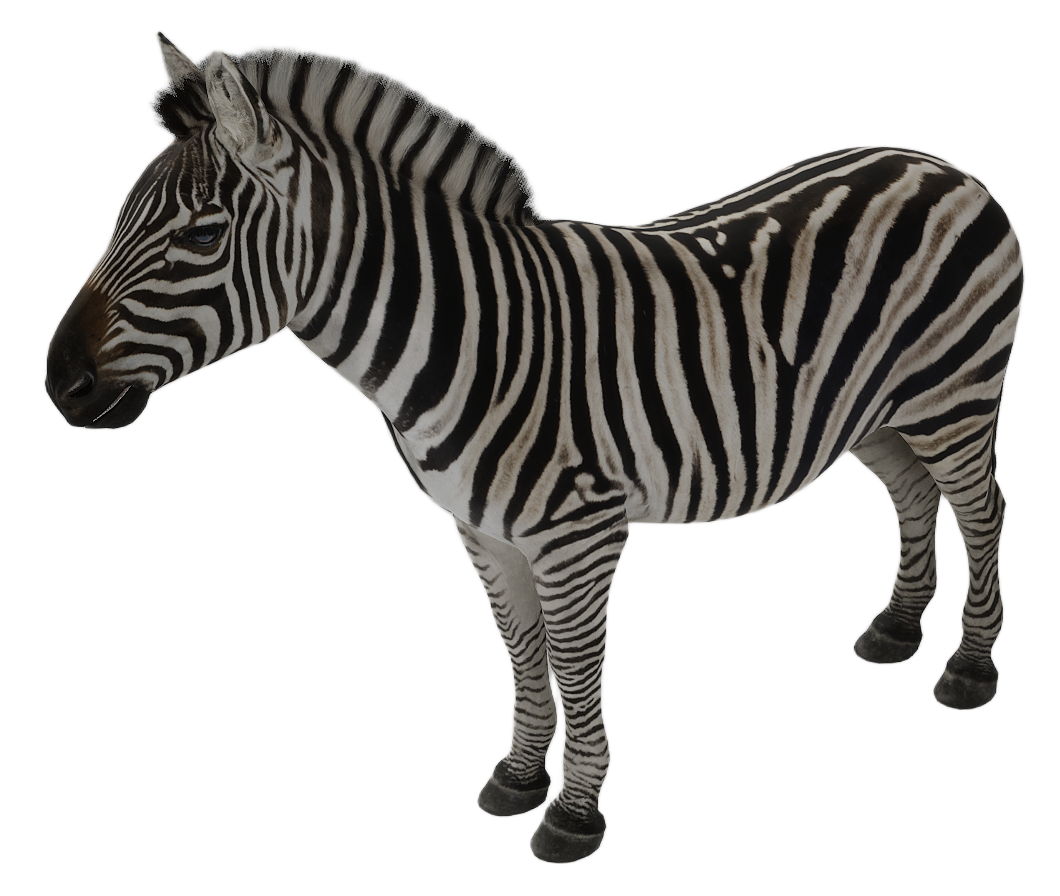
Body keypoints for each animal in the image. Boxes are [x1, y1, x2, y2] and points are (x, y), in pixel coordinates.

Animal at [44, 31, 1025, 863]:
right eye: (121, 215)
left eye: (203, 235)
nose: (61, 384)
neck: (467, 334)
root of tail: (942, 163)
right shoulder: (480, 530)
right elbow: (520, 651)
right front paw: (518, 776)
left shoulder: (580, 533)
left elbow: (577, 663)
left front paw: (573, 812)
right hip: (877, 415)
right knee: (913, 496)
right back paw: (896, 628)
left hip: (955, 396)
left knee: (983, 509)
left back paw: (969, 668)